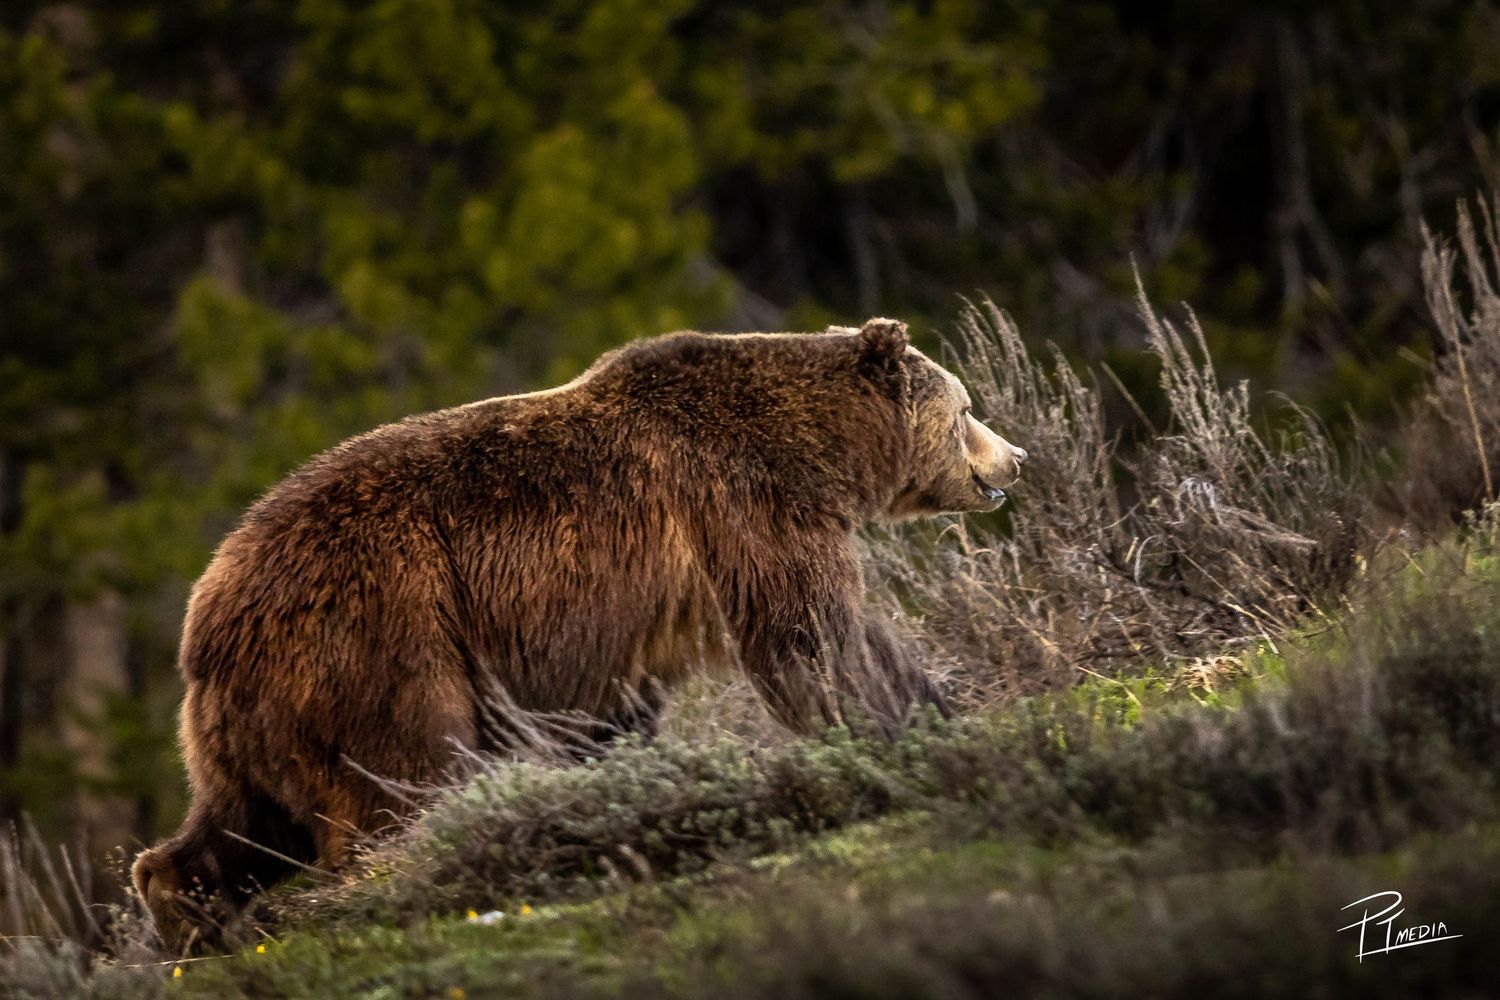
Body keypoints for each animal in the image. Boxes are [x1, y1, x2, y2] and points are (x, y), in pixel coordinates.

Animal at [131, 317, 1027, 950]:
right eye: (967, 408)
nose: (1015, 458)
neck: (822, 447)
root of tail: (207, 611)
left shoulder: (606, 631)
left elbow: (610, 712)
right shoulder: (743, 501)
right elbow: (811, 633)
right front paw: (917, 715)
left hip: (261, 711)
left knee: (241, 819)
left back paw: (188, 914)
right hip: (379, 633)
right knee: (406, 772)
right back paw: (389, 878)